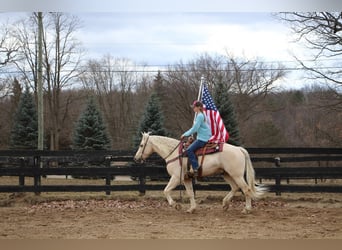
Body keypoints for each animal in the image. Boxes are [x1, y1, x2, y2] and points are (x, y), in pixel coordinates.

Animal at [134, 132, 268, 214]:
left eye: (141, 145)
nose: (136, 158)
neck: (175, 153)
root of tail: (239, 149)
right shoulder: (186, 178)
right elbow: (190, 194)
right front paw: (191, 209)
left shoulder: (176, 178)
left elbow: (166, 190)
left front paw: (176, 205)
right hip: (226, 174)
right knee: (235, 188)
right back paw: (225, 204)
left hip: (237, 175)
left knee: (246, 189)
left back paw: (246, 209)